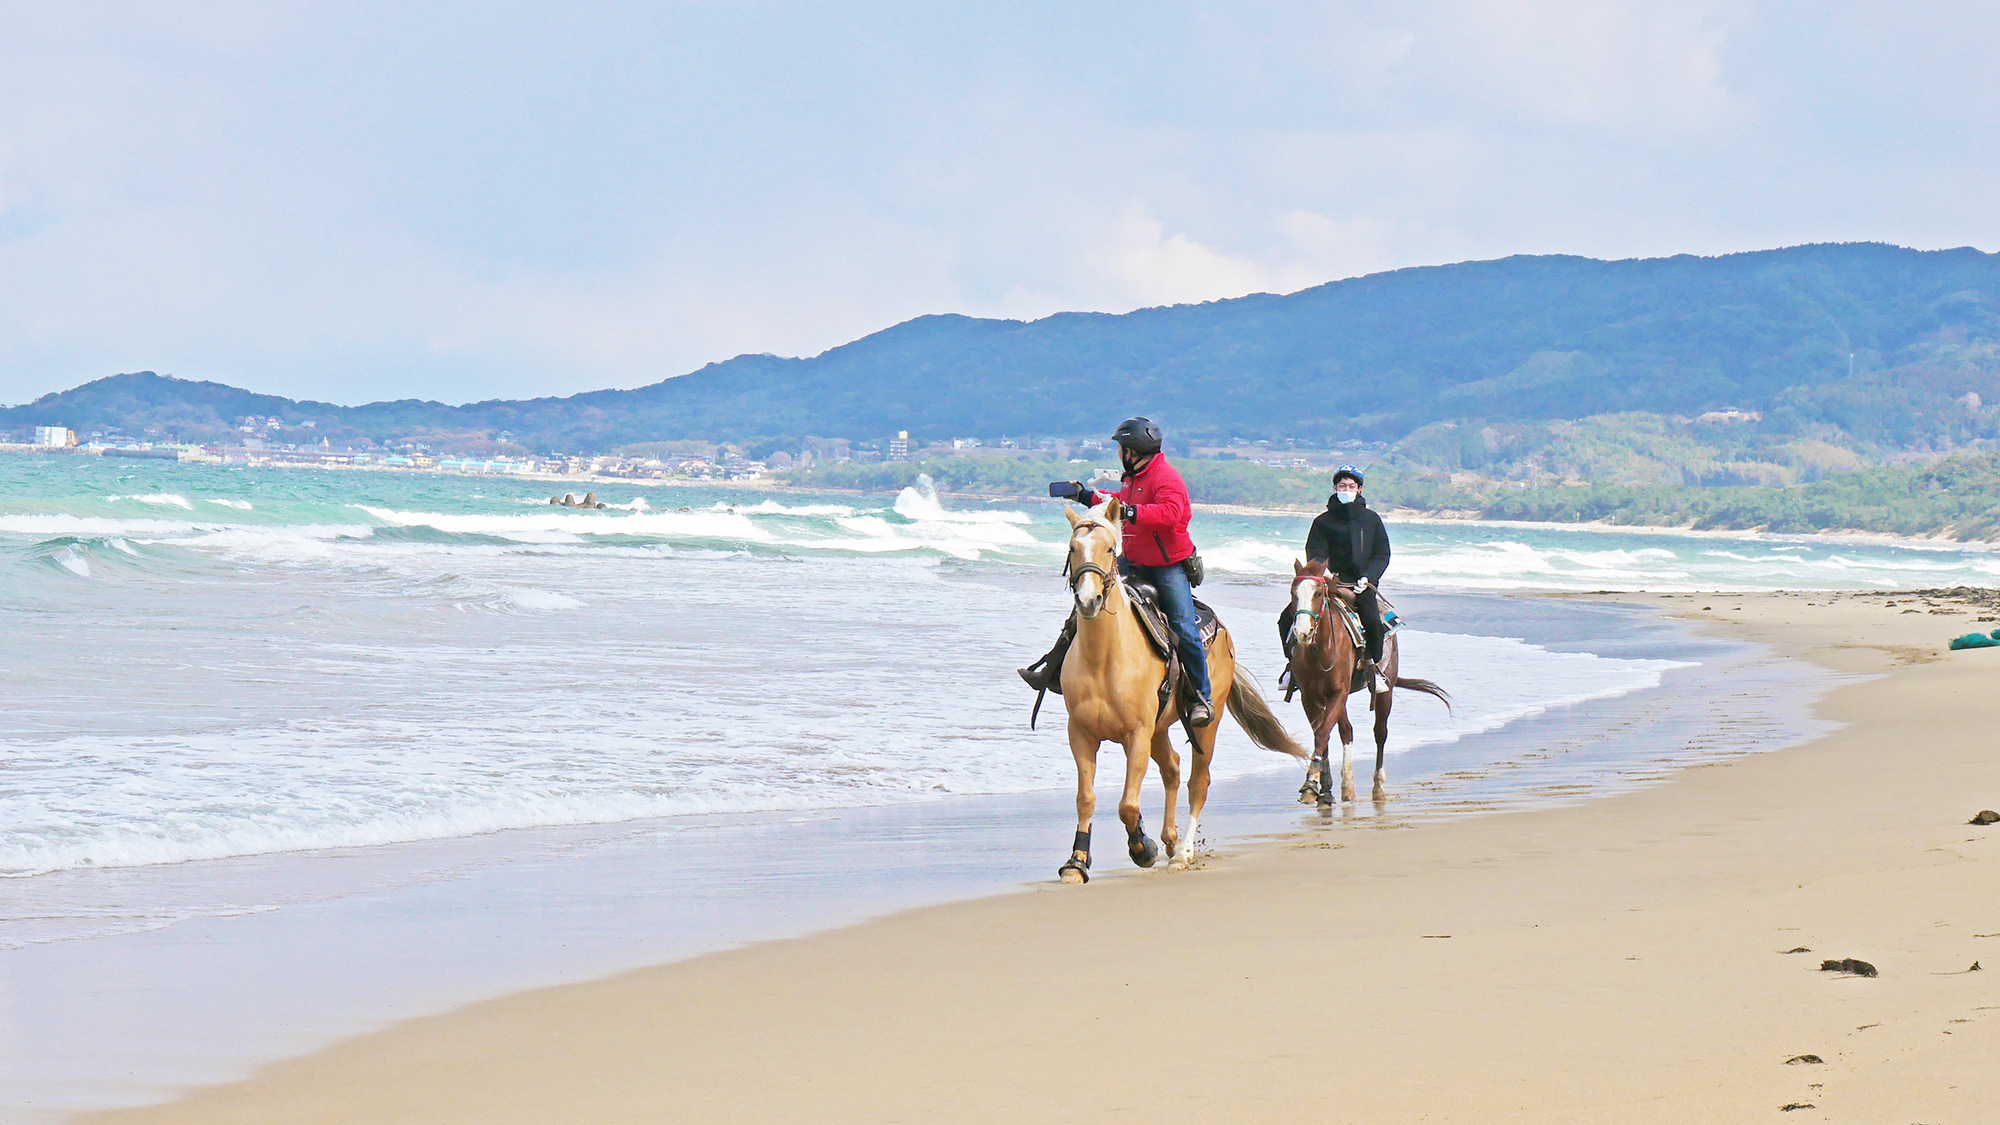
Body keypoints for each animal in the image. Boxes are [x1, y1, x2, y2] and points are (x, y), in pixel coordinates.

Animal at [1056, 494, 1304, 880]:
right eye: (1072, 548)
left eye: (1110, 548)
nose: (1087, 600)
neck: (1104, 657)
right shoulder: (1081, 733)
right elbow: (1086, 798)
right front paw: (1076, 863)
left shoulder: (1137, 735)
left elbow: (1128, 804)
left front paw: (1143, 848)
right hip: (1159, 728)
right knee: (1172, 768)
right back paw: (1171, 841)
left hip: (1205, 725)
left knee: (1197, 783)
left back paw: (1183, 851)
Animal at [1280, 560, 1456, 804]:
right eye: (1293, 593)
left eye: (1318, 593)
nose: (1302, 632)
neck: (1320, 650)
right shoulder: (1311, 697)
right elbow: (1322, 735)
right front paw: (1320, 786)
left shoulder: (1337, 694)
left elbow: (1323, 734)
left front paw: (1311, 782)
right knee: (1346, 731)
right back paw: (1340, 787)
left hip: (1385, 692)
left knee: (1380, 732)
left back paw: (1377, 787)